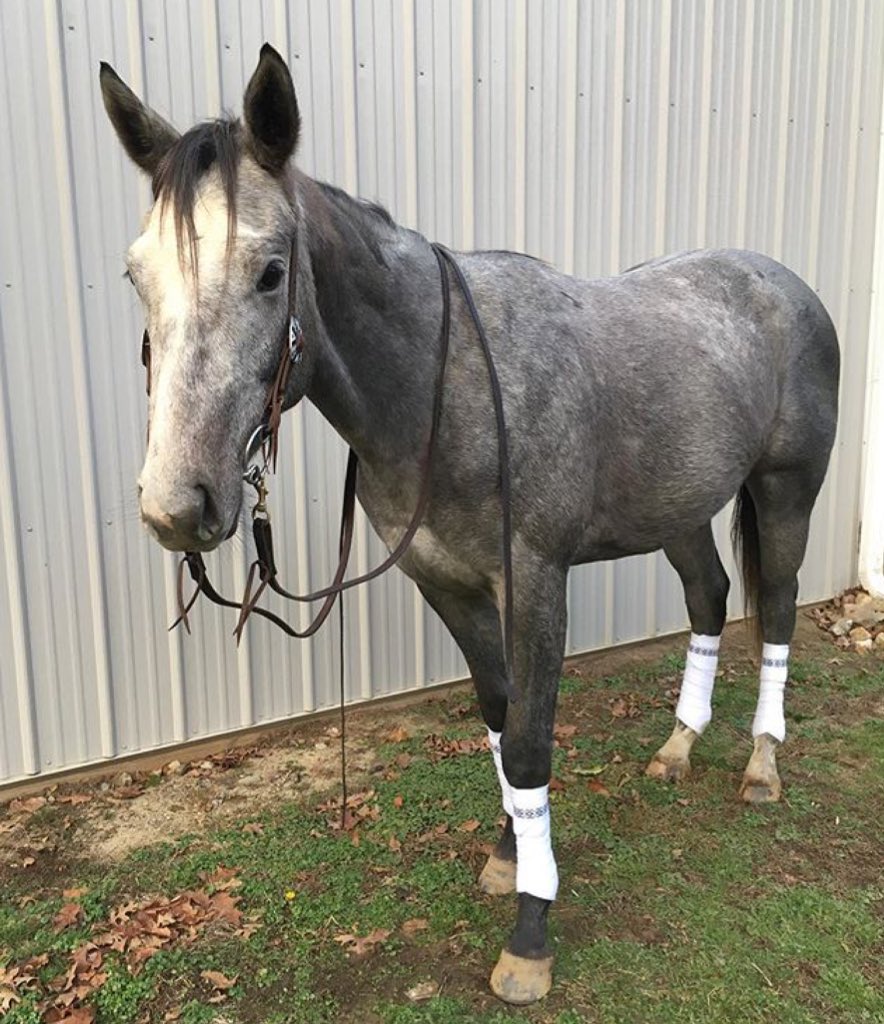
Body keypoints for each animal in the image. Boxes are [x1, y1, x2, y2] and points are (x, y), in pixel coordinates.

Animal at [99, 44, 839, 1005]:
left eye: (269, 271)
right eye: (136, 275)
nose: (177, 506)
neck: (440, 388)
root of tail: (782, 281)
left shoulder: (536, 585)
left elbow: (527, 742)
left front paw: (530, 934)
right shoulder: (446, 585)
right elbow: (496, 715)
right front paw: (509, 854)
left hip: (787, 491)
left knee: (778, 607)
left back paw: (762, 765)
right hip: (680, 507)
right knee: (711, 599)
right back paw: (679, 748)